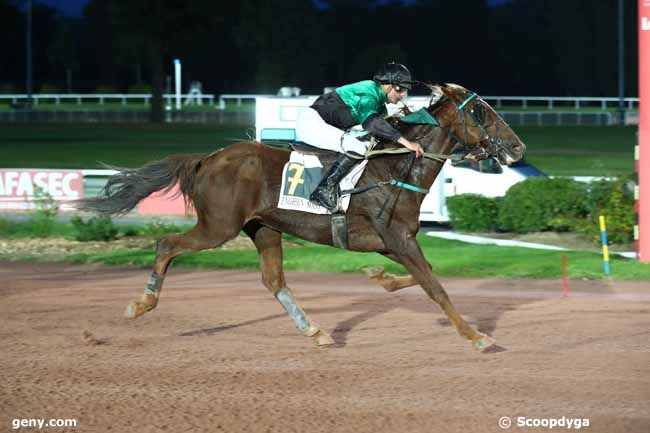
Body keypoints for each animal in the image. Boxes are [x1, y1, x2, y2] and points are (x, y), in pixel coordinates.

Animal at [76, 83, 524, 352]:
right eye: (481, 111)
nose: (518, 147)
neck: (396, 168)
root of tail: (208, 159)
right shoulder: (397, 239)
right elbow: (435, 286)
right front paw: (477, 336)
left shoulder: (390, 242)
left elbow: (420, 277)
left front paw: (379, 278)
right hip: (218, 226)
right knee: (167, 244)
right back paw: (141, 304)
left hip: (263, 228)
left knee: (274, 281)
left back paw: (315, 330)